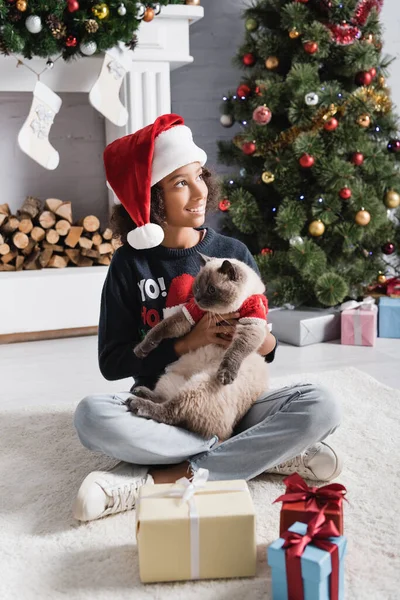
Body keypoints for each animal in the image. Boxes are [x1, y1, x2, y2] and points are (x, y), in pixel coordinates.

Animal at [126, 253, 270, 440]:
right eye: (197, 287)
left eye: (211, 290)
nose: (198, 299)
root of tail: (225, 434)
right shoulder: (191, 314)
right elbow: (160, 328)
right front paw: (140, 350)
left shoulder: (251, 324)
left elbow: (235, 350)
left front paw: (226, 375)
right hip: (171, 379)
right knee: (166, 402)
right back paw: (139, 393)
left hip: (199, 385)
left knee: (171, 412)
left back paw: (136, 402)